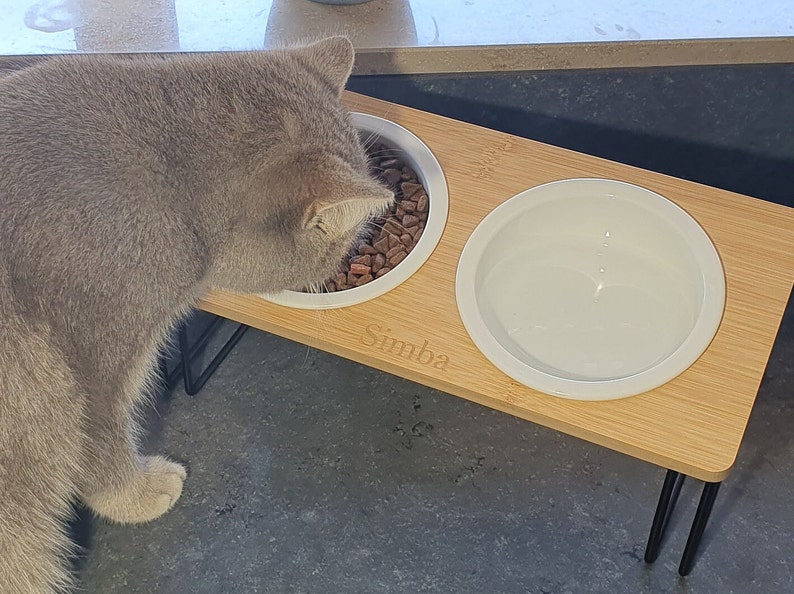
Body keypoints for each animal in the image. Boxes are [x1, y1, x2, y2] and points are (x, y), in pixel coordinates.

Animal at [0, 38, 390, 592]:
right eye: (341, 242)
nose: (336, 268)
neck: (171, 183)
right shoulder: (93, 372)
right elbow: (102, 450)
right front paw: (138, 494)